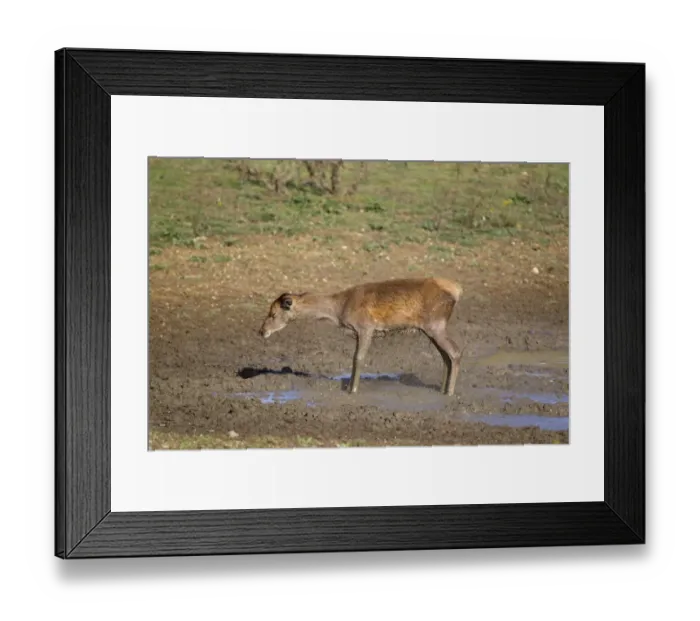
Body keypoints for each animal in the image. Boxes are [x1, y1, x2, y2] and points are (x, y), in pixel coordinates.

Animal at [258, 277, 463, 396]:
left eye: (273, 314)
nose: (261, 331)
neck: (339, 309)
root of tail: (457, 290)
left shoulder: (366, 327)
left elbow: (358, 358)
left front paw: (352, 390)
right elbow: (355, 358)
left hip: (436, 324)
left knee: (455, 352)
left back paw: (450, 393)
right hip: (431, 329)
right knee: (445, 356)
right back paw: (442, 389)